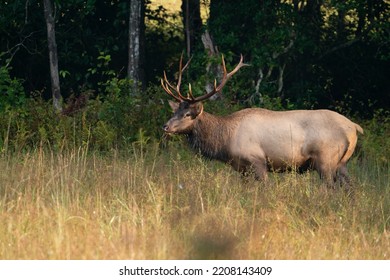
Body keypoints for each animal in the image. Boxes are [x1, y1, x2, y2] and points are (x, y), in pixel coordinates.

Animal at [161, 54, 362, 188]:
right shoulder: (242, 168)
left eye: (188, 114)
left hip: (325, 159)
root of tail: (353, 128)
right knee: (351, 188)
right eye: (176, 110)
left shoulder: (257, 161)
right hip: (342, 163)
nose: (166, 126)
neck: (226, 141)